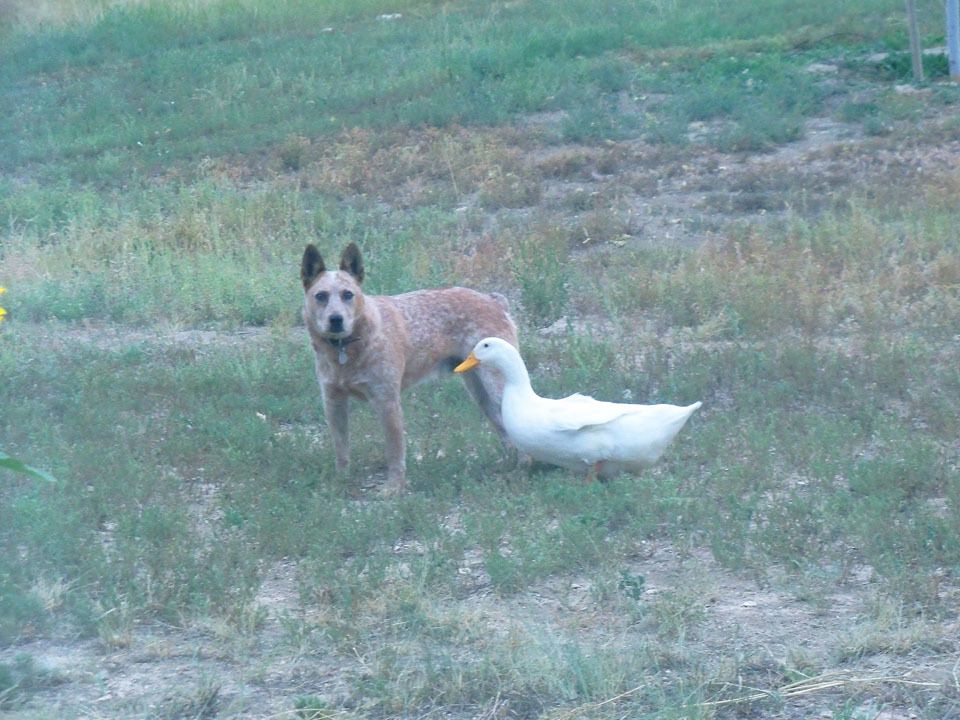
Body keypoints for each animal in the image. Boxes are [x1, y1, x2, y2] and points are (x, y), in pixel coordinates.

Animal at [301, 242, 519, 493]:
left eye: (348, 294)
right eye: (321, 296)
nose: (336, 320)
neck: (347, 349)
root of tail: (494, 300)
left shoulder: (386, 400)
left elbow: (395, 451)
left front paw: (394, 488)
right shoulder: (333, 401)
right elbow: (341, 448)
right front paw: (340, 480)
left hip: (496, 384)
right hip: (480, 392)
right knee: (503, 427)